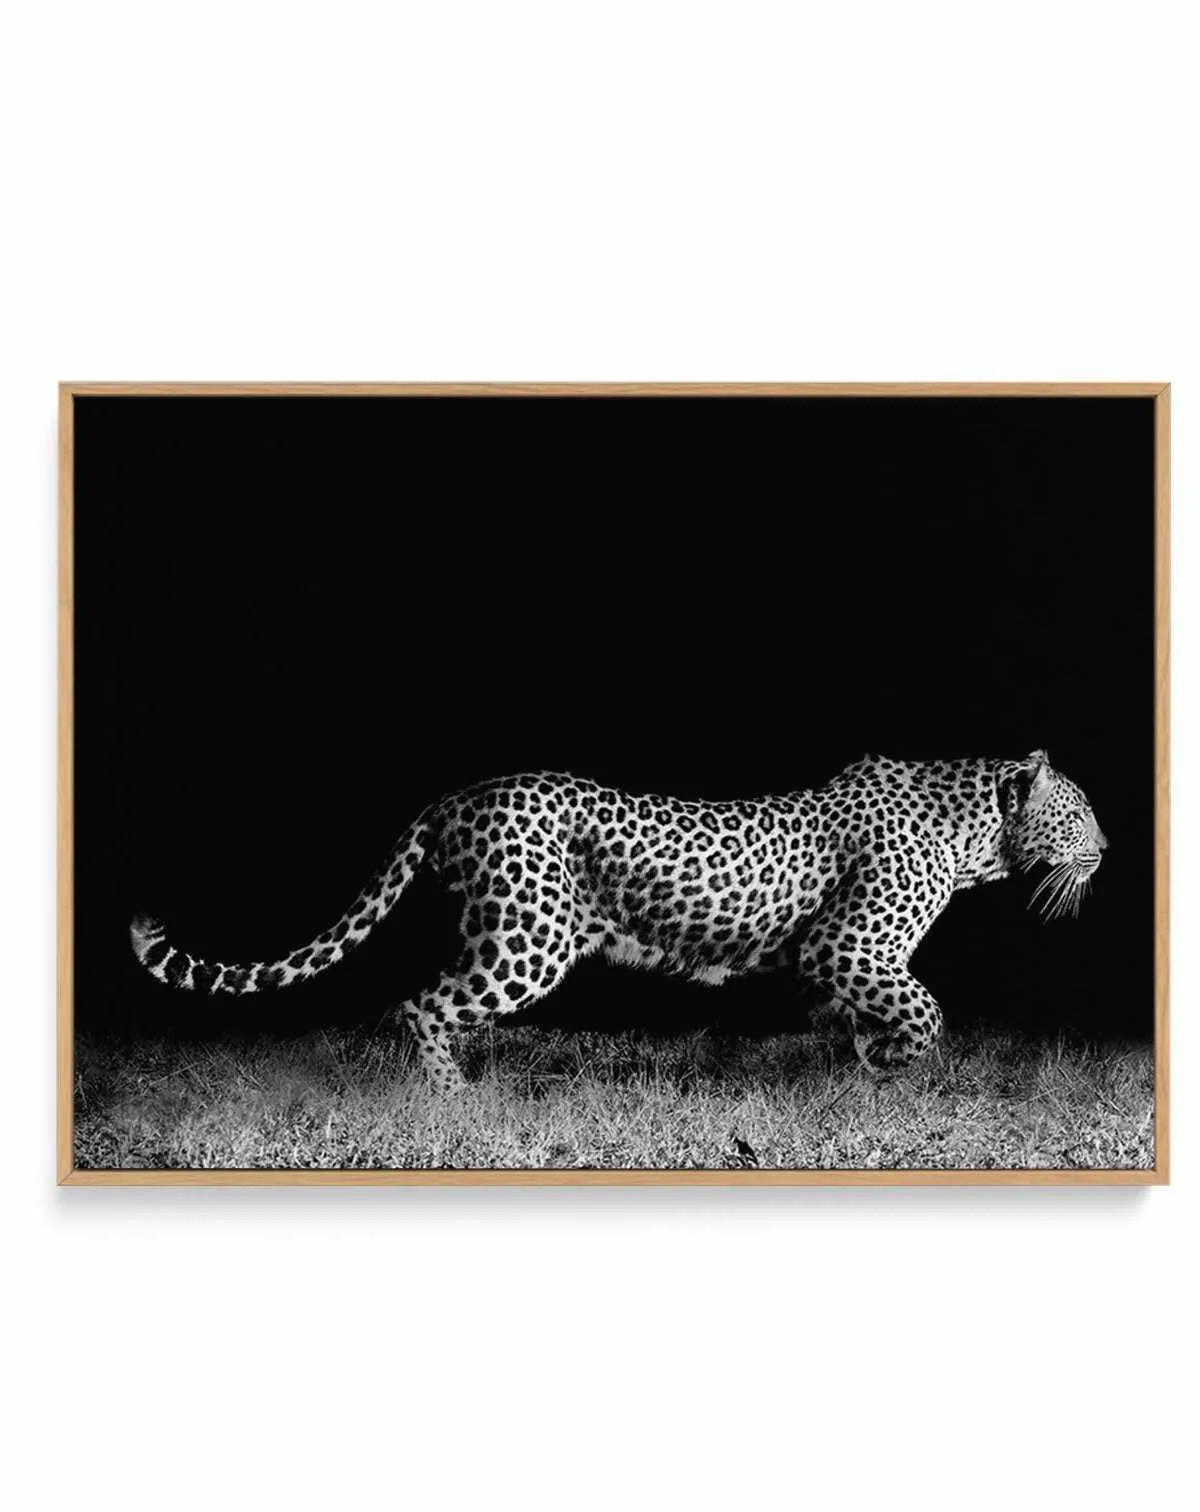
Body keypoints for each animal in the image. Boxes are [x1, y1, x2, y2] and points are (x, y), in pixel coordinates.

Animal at [131, 749, 1106, 1092]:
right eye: (1082, 811)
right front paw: (898, 1065)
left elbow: (869, 1016)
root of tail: (459, 794)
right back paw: (452, 1100)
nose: (1108, 845)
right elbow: (926, 1009)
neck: (977, 834)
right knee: (421, 1004)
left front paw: (867, 1066)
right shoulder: (847, 946)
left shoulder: (839, 962)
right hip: (529, 939)